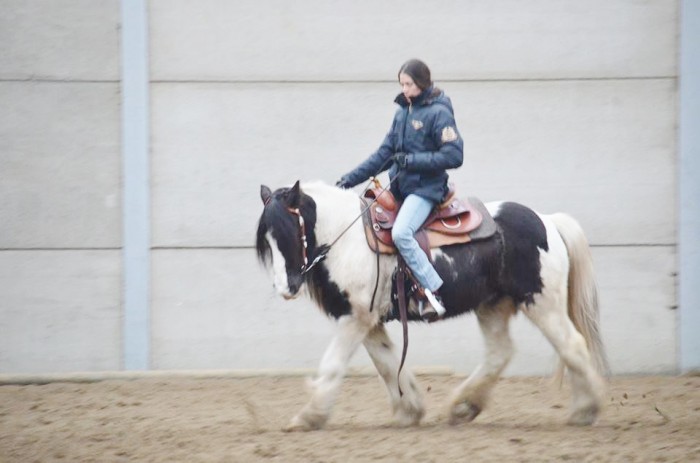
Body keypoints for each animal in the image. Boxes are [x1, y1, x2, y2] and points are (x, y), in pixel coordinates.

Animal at [258, 180, 608, 432]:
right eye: (268, 241)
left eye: (291, 232)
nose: (286, 288)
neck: (348, 238)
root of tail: (548, 221)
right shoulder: (366, 319)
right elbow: (388, 364)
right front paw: (409, 411)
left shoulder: (356, 319)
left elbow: (333, 365)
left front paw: (308, 417)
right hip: (492, 306)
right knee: (500, 353)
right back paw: (463, 406)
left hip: (543, 303)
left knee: (572, 345)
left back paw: (584, 410)